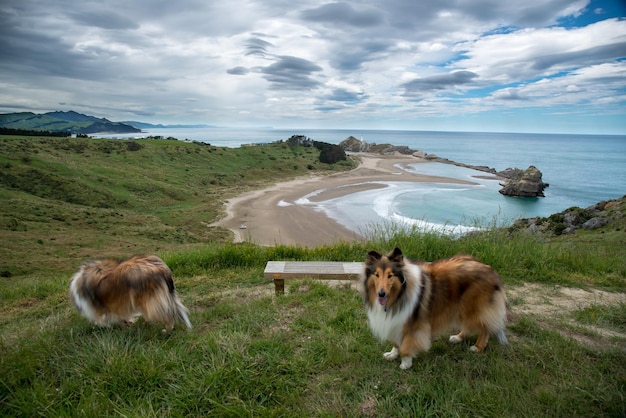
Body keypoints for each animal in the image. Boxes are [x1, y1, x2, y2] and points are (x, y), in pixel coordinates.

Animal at [364, 248, 504, 370]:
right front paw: (392, 354)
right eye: (376, 275)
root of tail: (490, 269)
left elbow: (406, 345)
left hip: (473, 307)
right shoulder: (396, 320)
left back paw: (478, 347)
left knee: (485, 327)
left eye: (390, 275)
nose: (381, 294)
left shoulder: (413, 324)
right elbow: (395, 342)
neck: (399, 294)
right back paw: (458, 338)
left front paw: (405, 363)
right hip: (462, 308)